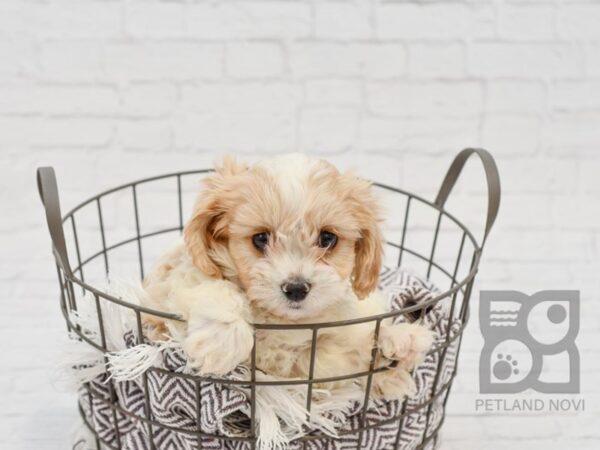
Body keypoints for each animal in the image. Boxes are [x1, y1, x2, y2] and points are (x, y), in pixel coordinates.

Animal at [142, 156, 432, 400]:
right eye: (260, 238)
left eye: (327, 238)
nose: (296, 289)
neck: (284, 322)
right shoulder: (178, 282)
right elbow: (213, 286)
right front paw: (220, 342)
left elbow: (340, 357)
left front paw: (394, 345)